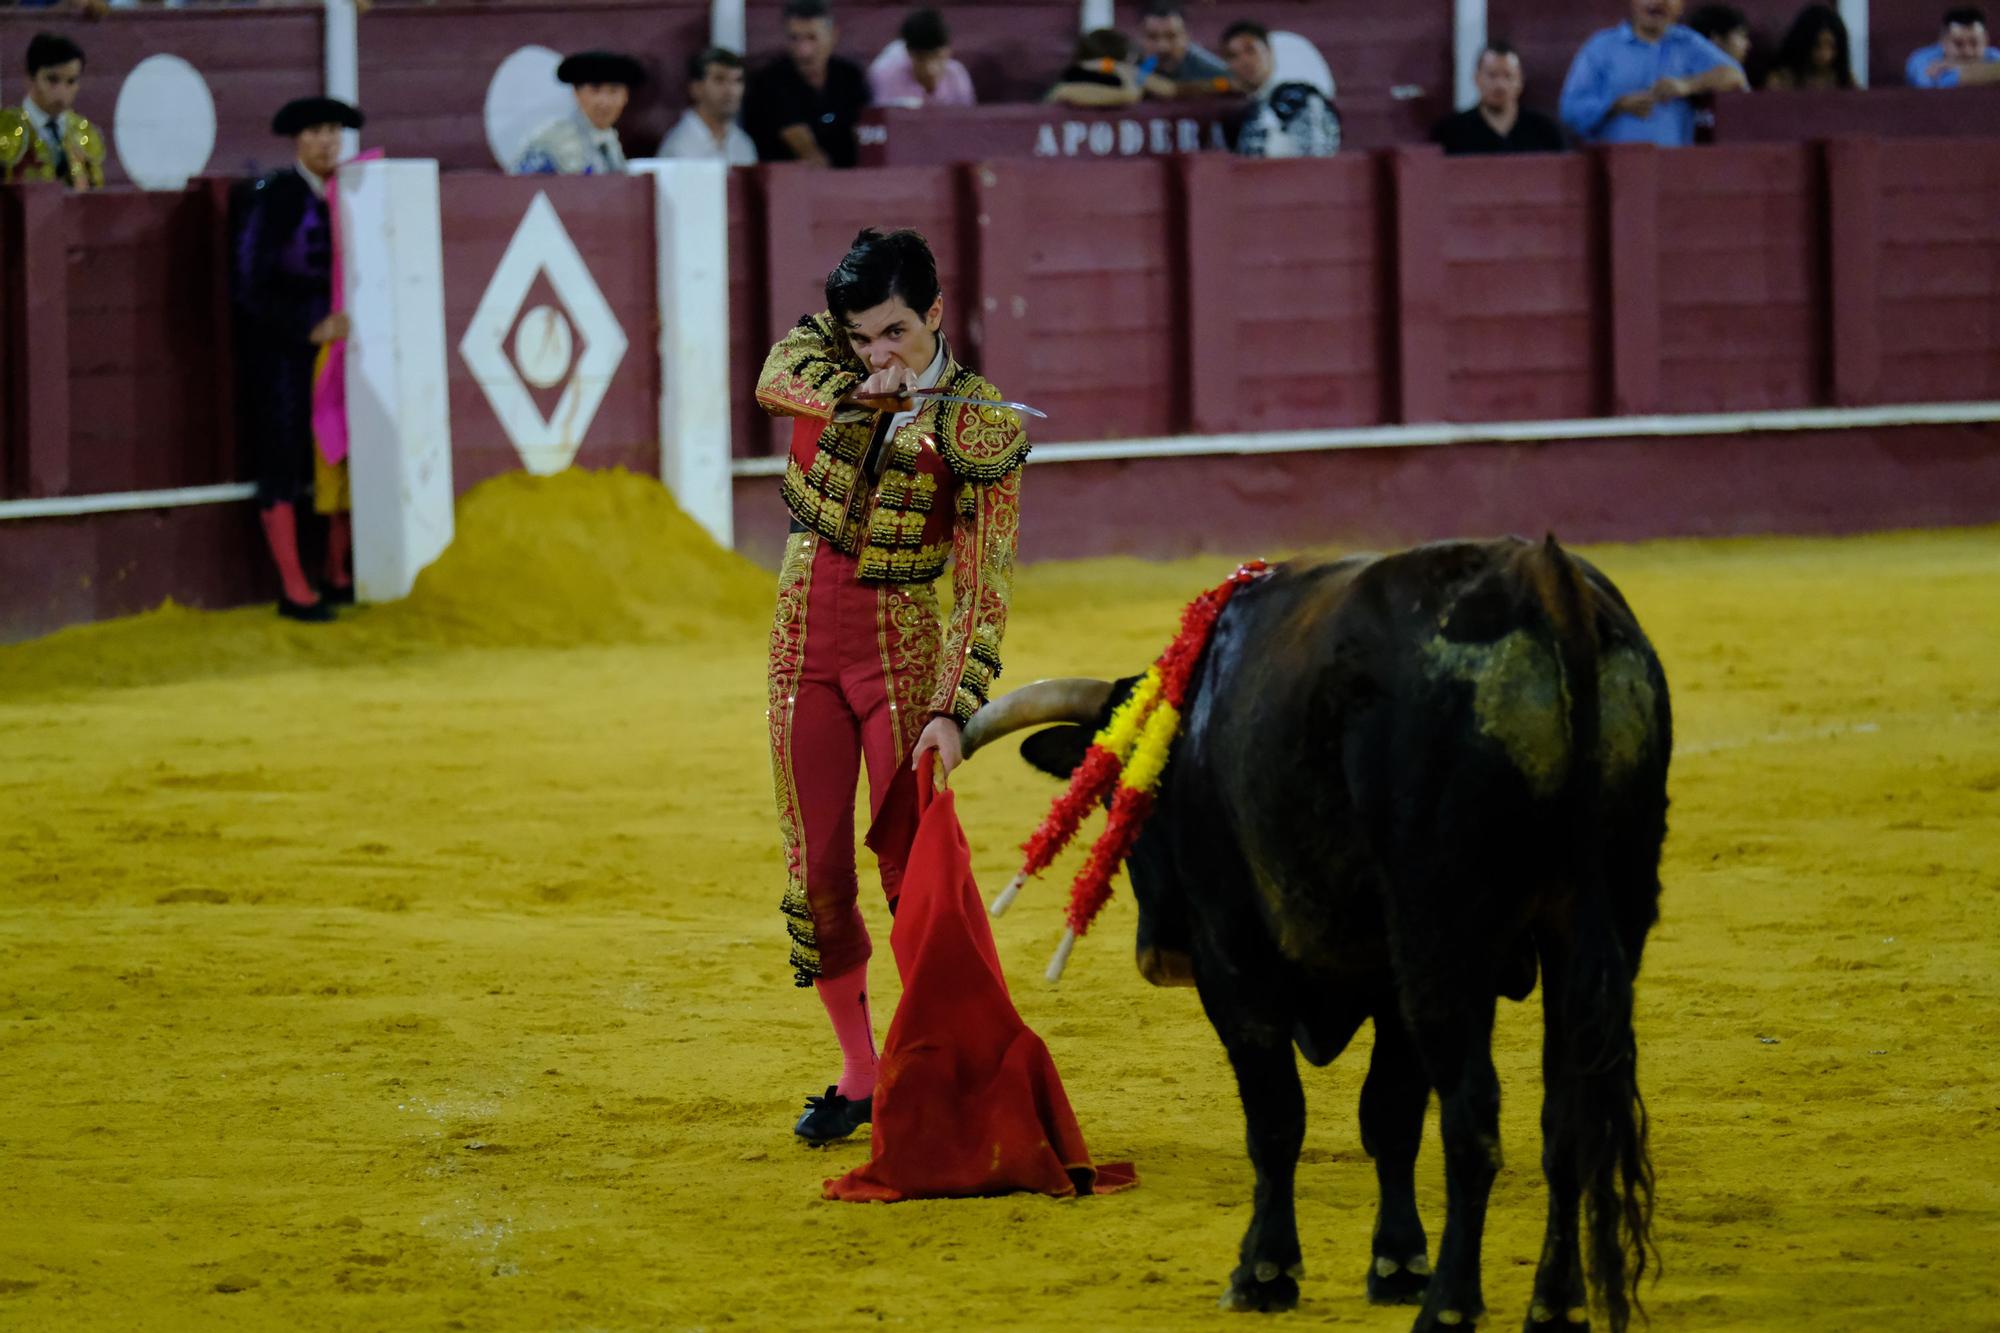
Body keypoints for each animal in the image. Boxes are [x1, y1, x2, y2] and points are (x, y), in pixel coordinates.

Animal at [968, 536, 1672, 1328]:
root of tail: (1544, 581)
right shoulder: (1391, 985)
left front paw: (1266, 1271)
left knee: (1472, 1121)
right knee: (1569, 1120)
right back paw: (1554, 1304)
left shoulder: (1236, 961)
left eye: (1128, 799)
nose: (1159, 954)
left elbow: (1277, 1116)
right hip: (1603, 919)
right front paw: (1397, 1261)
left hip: (1441, 935)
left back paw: (1452, 1304)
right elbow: (1389, 1114)